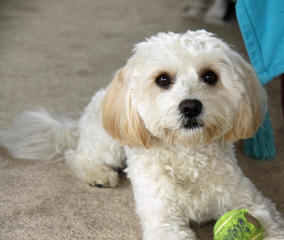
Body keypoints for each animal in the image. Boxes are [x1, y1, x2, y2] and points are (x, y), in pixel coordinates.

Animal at [0, 30, 284, 240]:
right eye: (163, 79)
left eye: (210, 76)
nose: (190, 106)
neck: (187, 153)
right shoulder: (164, 220)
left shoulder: (253, 202)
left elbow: (270, 221)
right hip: (108, 145)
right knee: (77, 156)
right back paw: (98, 174)